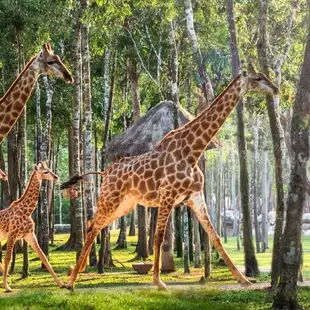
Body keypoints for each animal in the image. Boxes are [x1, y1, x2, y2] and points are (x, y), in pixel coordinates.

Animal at [61, 66, 278, 290]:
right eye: (257, 78)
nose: (276, 89)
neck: (192, 152)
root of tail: (105, 173)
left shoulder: (195, 197)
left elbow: (215, 236)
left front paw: (243, 279)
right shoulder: (167, 195)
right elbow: (158, 237)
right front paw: (158, 281)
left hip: (125, 204)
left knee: (92, 225)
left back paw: (75, 274)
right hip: (110, 198)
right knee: (93, 227)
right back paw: (71, 281)